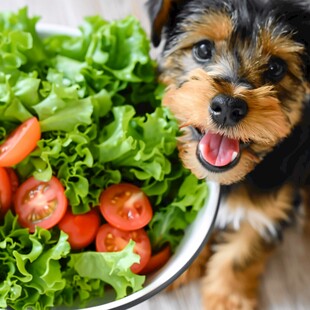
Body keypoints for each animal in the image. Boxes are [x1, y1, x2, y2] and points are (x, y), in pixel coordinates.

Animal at [147, 0, 310, 308]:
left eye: (276, 67)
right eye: (202, 49)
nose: (227, 106)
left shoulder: (270, 210)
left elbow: (241, 255)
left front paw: (227, 299)